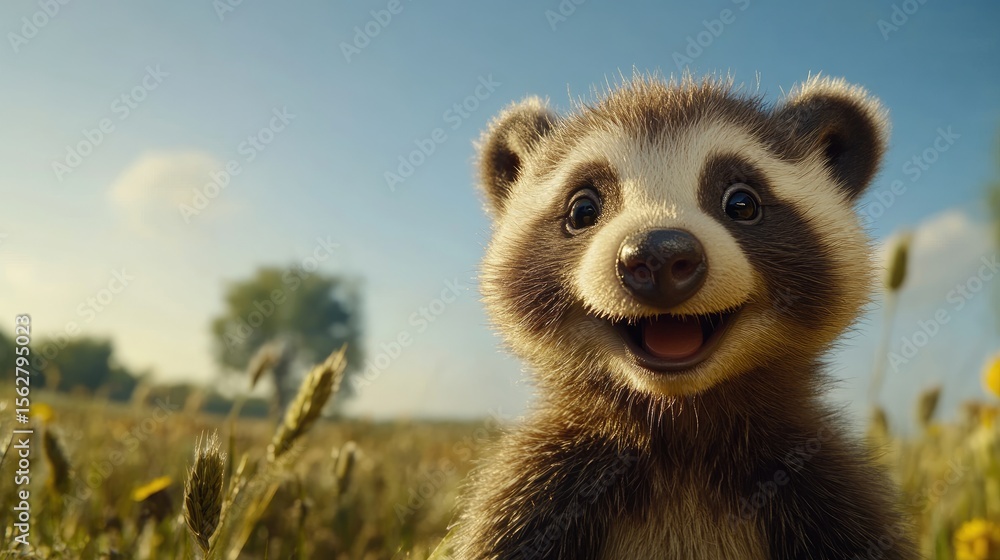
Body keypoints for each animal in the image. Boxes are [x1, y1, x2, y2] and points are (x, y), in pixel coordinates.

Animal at [453, 75, 918, 560]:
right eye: (583, 208)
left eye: (742, 202)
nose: (658, 254)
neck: (680, 428)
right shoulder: (539, 487)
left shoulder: (824, 487)